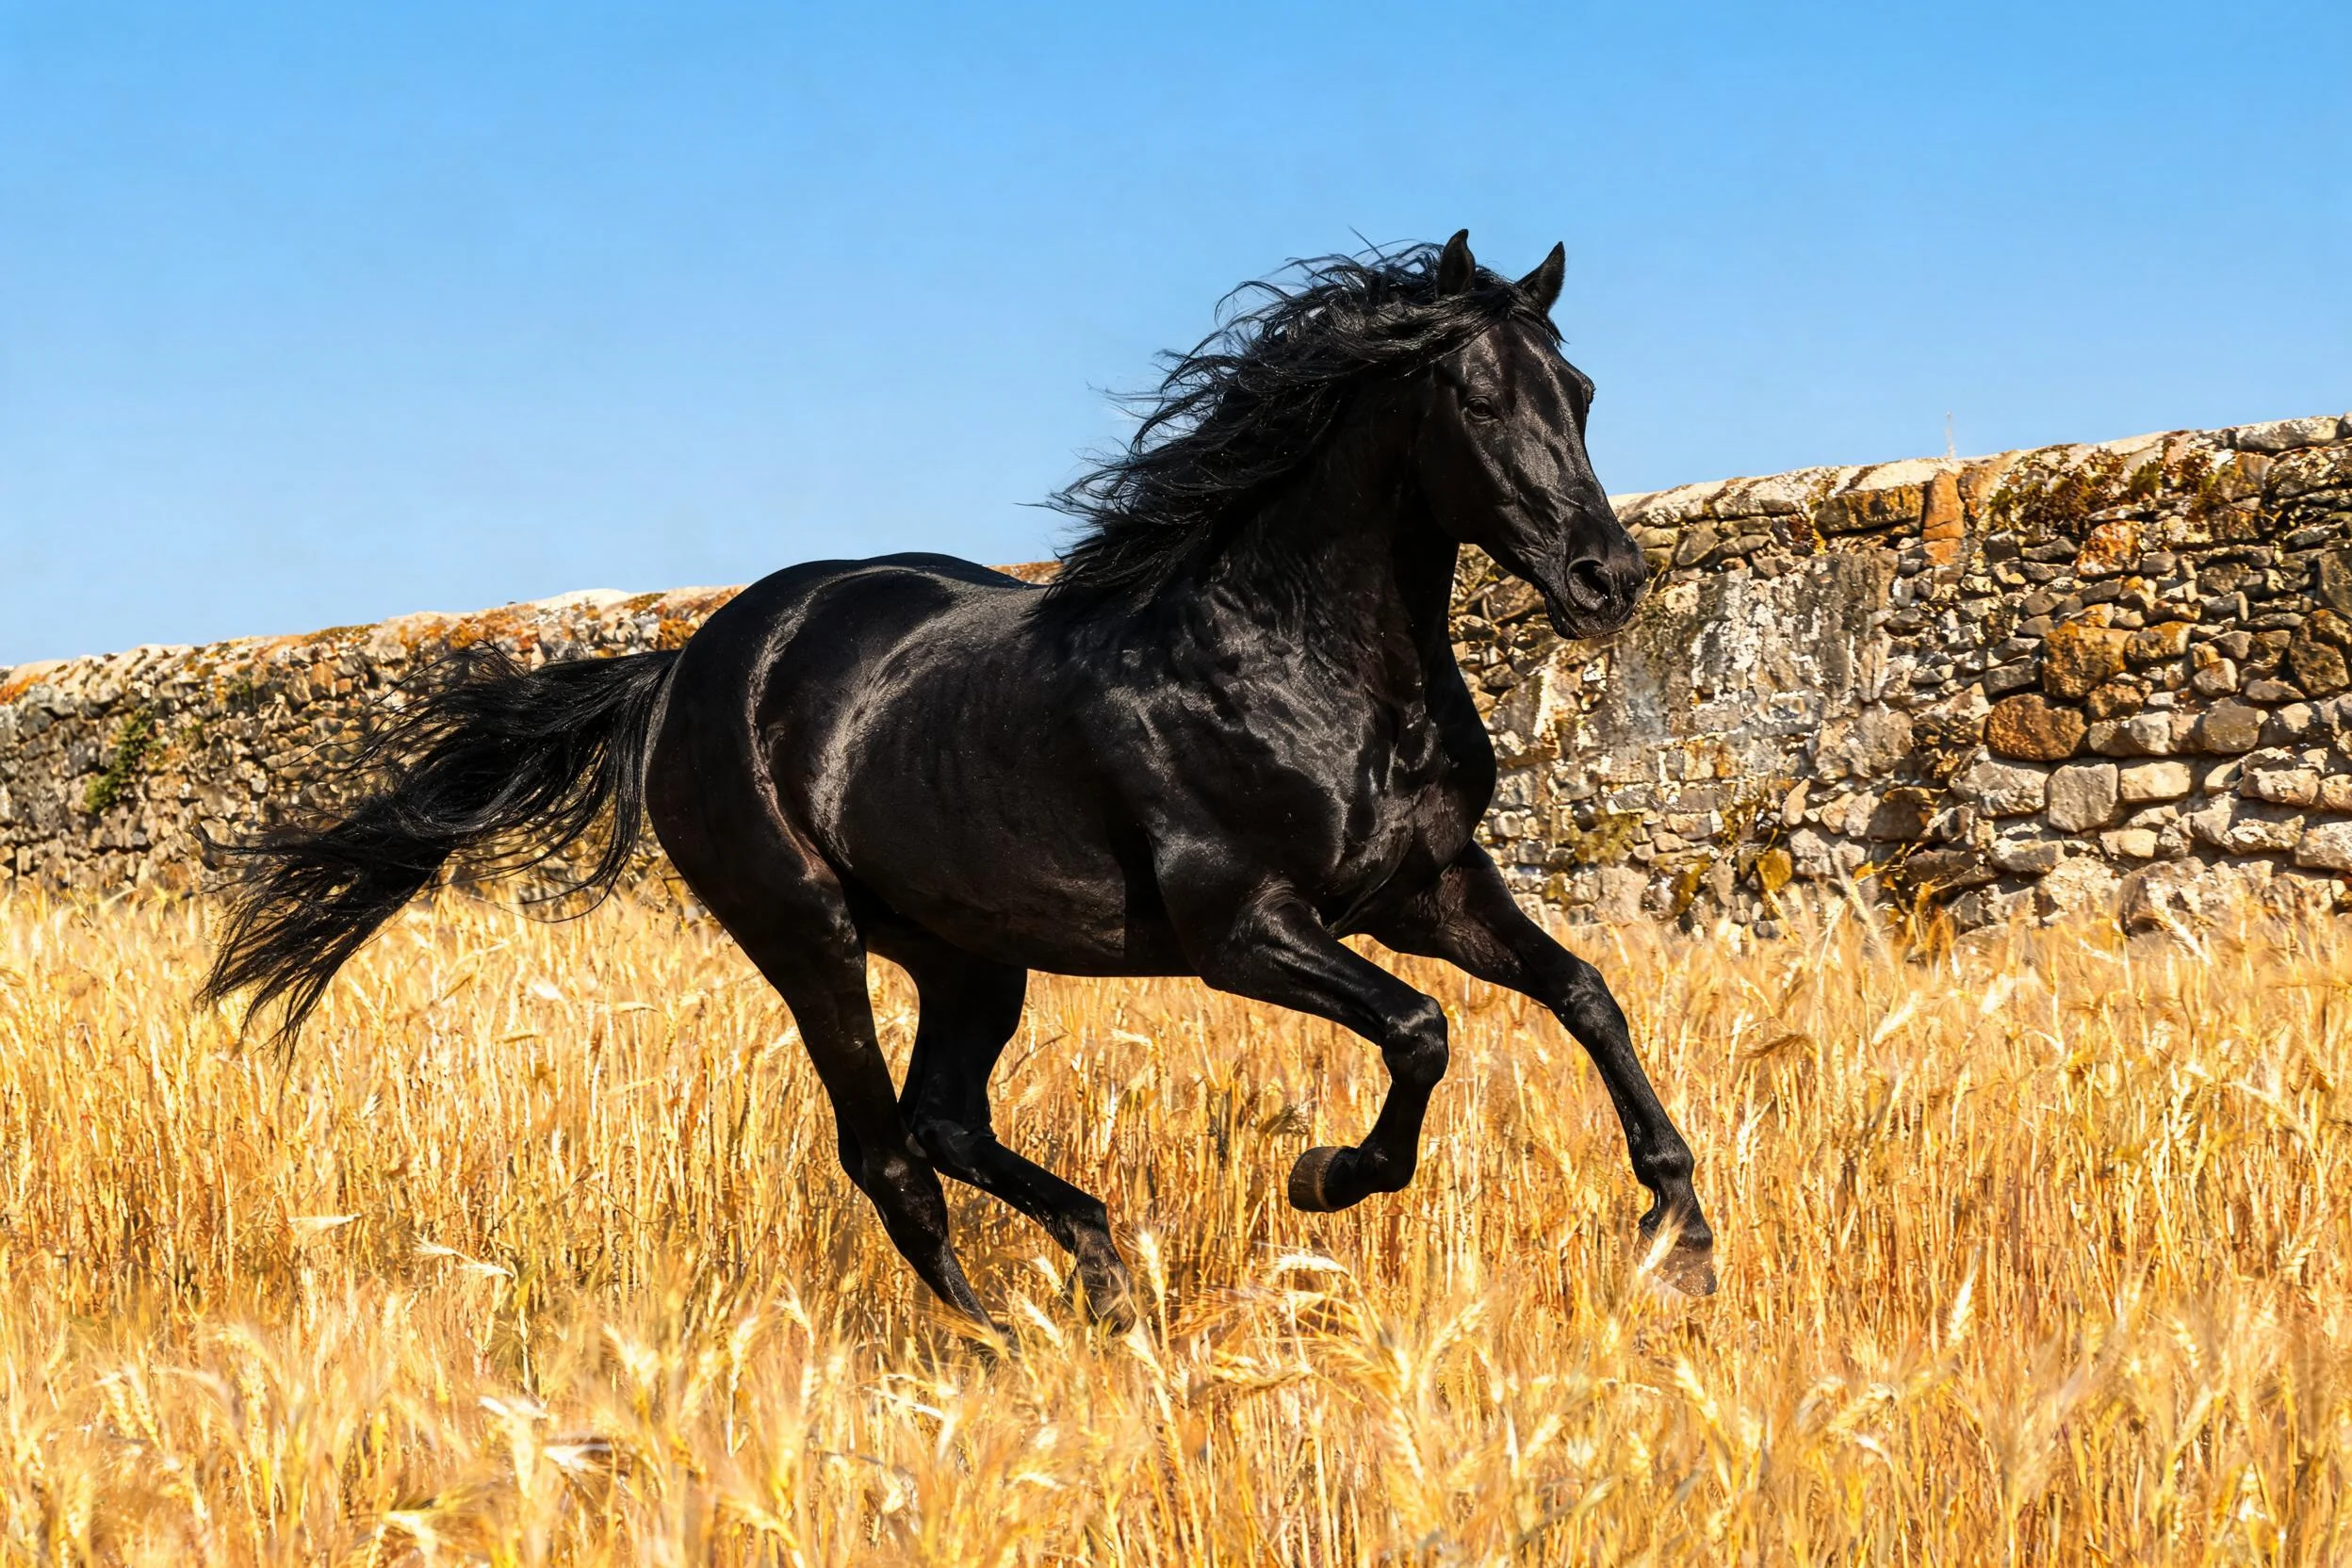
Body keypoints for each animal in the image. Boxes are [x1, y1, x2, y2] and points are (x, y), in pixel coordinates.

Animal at [202, 231, 1716, 1334]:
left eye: (1580, 394)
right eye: (1475, 397)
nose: (1609, 580)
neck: (1296, 658)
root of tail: (688, 664)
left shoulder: (1426, 887)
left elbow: (1584, 990)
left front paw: (1681, 1232)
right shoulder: (1244, 927)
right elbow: (1421, 1030)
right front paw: (1330, 1176)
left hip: (970, 954)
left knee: (943, 1117)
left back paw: (1099, 1274)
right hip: (807, 936)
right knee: (885, 1150)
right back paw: (1000, 1336)